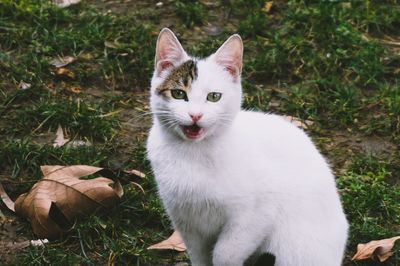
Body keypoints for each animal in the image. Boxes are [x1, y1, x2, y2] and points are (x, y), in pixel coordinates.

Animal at [147, 28, 346, 264]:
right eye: (178, 93)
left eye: (214, 97)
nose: (195, 115)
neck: (193, 153)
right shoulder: (187, 222)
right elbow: (199, 256)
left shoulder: (257, 215)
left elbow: (225, 253)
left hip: (293, 247)